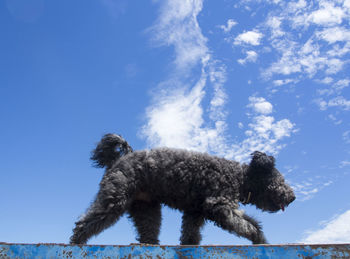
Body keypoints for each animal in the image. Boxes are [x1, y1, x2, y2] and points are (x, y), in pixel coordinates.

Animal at [71, 134, 296, 246]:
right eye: (280, 180)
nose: (292, 197)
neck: (239, 178)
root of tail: (120, 158)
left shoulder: (195, 211)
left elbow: (191, 233)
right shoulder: (219, 205)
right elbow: (247, 225)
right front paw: (259, 239)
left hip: (146, 207)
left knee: (147, 231)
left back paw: (150, 245)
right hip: (114, 198)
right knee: (86, 222)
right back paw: (76, 242)